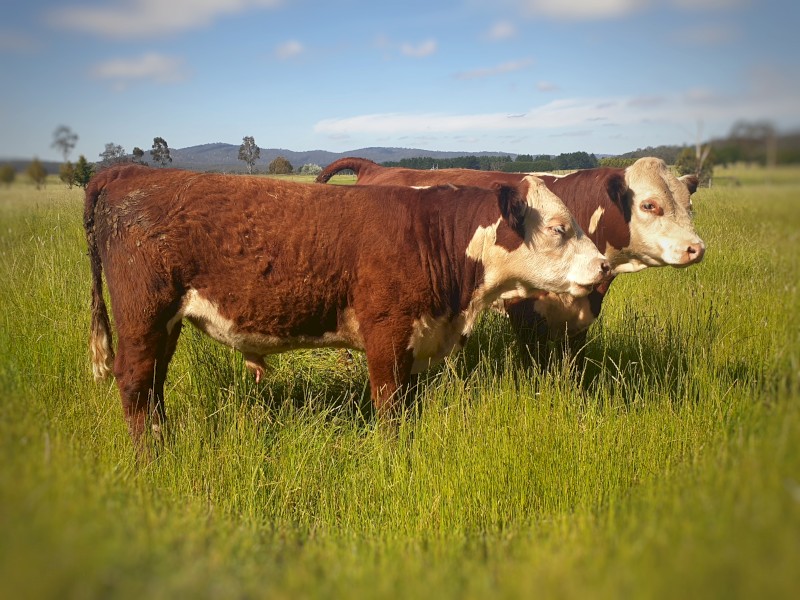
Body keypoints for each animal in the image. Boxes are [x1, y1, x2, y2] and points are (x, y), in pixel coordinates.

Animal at [85, 164, 609, 447]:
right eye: (560, 228)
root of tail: (127, 170)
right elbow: (390, 410)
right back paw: (152, 457)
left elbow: (407, 406)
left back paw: (163, 439)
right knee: (134, 383)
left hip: (165, 322)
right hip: (144, 313)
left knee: (153, 384)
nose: (604, 266)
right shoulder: (386, 334)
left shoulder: (414, 341)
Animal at [316, 157, 704, 357]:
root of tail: (373, 167)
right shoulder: (524, 312)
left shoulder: (580, 318)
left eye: (689, 205)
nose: (696, 248)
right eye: (649, 205)